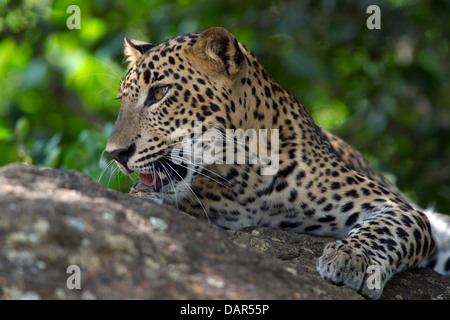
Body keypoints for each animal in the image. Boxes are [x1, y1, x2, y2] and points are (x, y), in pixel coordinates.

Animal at [104, 27, 446, 300]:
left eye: (159, 92)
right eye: (121, 100)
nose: (115, 154)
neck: (242, 178)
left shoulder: (398, 207)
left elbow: (385, 229)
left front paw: (350, 257)